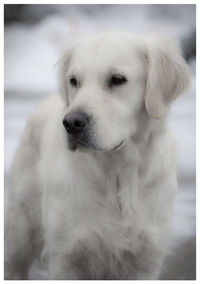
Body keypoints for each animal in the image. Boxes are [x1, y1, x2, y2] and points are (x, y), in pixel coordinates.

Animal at [4, 31, 189, 280]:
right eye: (74, 81)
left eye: (117, 79)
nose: (71, 123)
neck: (118, 173)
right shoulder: (66, 258)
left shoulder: (145, 261)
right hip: (19, 234)